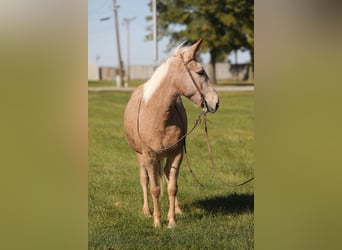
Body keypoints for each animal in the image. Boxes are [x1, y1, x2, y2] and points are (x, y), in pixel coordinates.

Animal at [123, 38, 219, 228]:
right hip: (140, 156)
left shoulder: (176, 154)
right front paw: (157, 221)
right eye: (200, 72)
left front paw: (172, 220)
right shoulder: (149, 156)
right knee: (144, 179)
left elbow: (172, 187)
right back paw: (147, 211)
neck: (158, 116)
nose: (216, 102)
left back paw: (177, 209)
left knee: (167, 176)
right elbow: (154, 188)